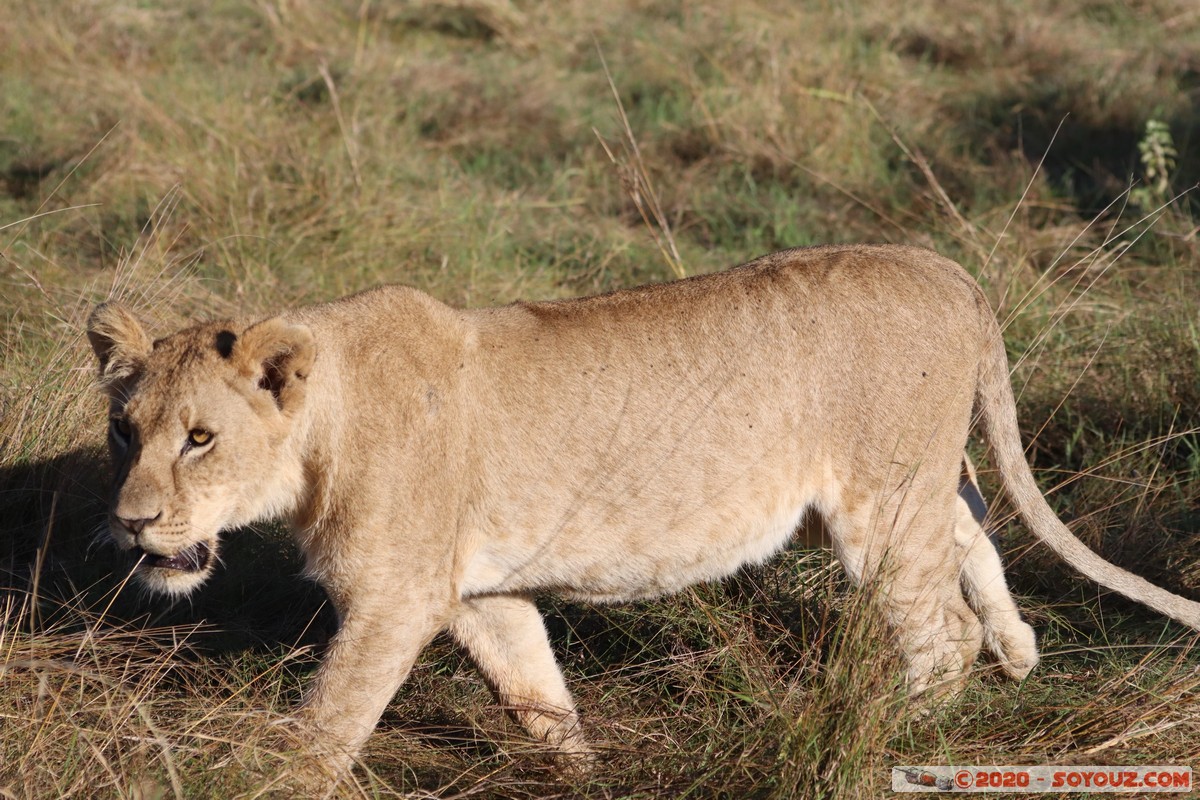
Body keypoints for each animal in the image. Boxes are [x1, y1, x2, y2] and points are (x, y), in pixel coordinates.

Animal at [87, 244, 1200, 782]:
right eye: (123, 432)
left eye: (199, 438)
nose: (132, 524)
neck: (326, 420)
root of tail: (946, 268)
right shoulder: (478, 594)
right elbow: (540, 701)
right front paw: (585, 775)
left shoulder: (396, 597)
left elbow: (326, 724)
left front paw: (264, 780)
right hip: (908, 483)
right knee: (972, 520)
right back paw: (1021, 652)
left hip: (877, 504)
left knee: (940, 636)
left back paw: (890, 735)